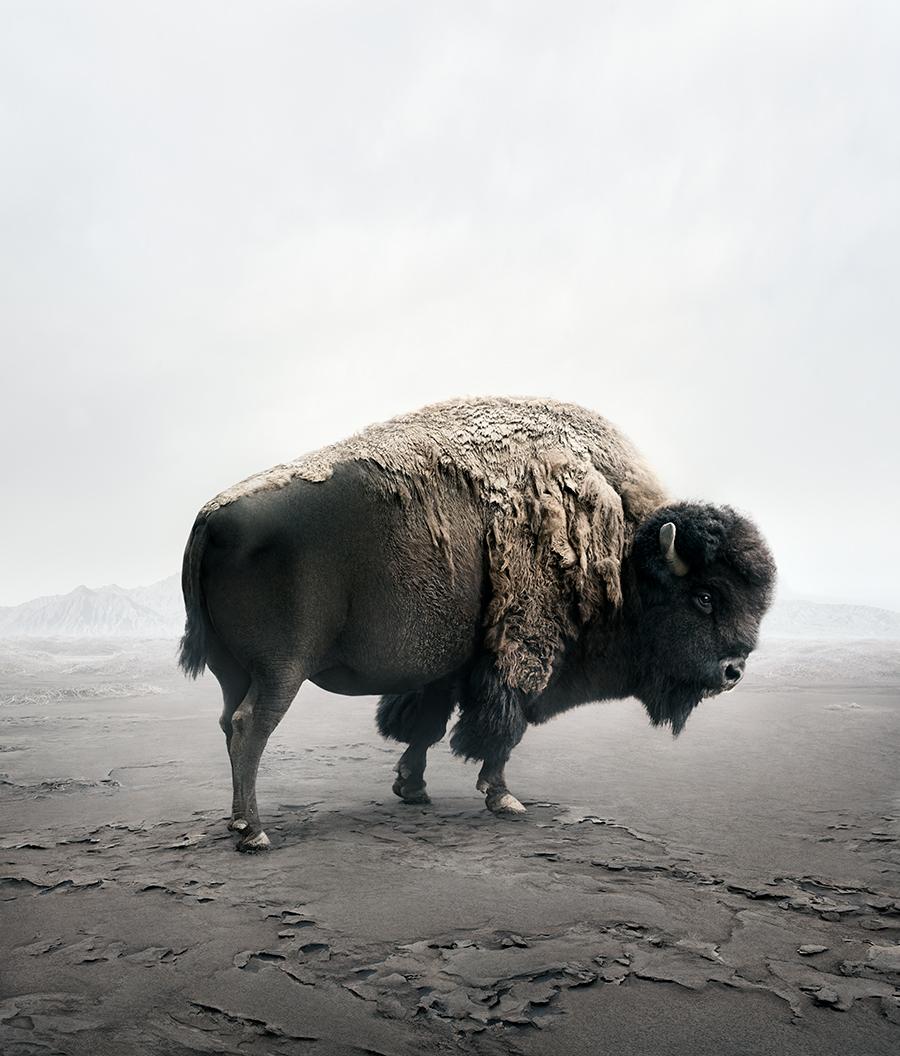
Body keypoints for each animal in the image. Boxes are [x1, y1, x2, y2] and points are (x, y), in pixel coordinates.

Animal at [179, 397, 775, 851]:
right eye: (704, 596)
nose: (733, 670)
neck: (623, 554)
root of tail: (211, 516)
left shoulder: (448, 669)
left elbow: (425, 724)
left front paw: (412, 788)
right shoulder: (520, 656)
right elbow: (503, 727)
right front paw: (504, 798)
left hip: (234, 671)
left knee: (228, 722)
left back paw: (237, 821)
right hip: (281, 671)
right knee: (250, 727)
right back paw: (254, 833)